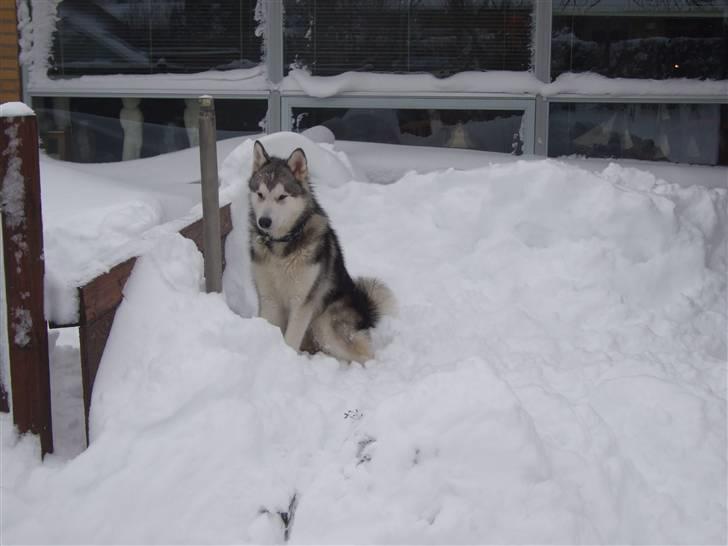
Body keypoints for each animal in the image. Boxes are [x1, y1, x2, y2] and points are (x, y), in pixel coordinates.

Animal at [247, 140, 395, 363]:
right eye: (260, 194)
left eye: (282, 197)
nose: (264, 221)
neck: (281, 247)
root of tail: (364, 311)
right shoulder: (268, 298)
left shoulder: (302, 302)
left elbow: (291, 339)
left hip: (324, 324)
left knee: (365, 355)